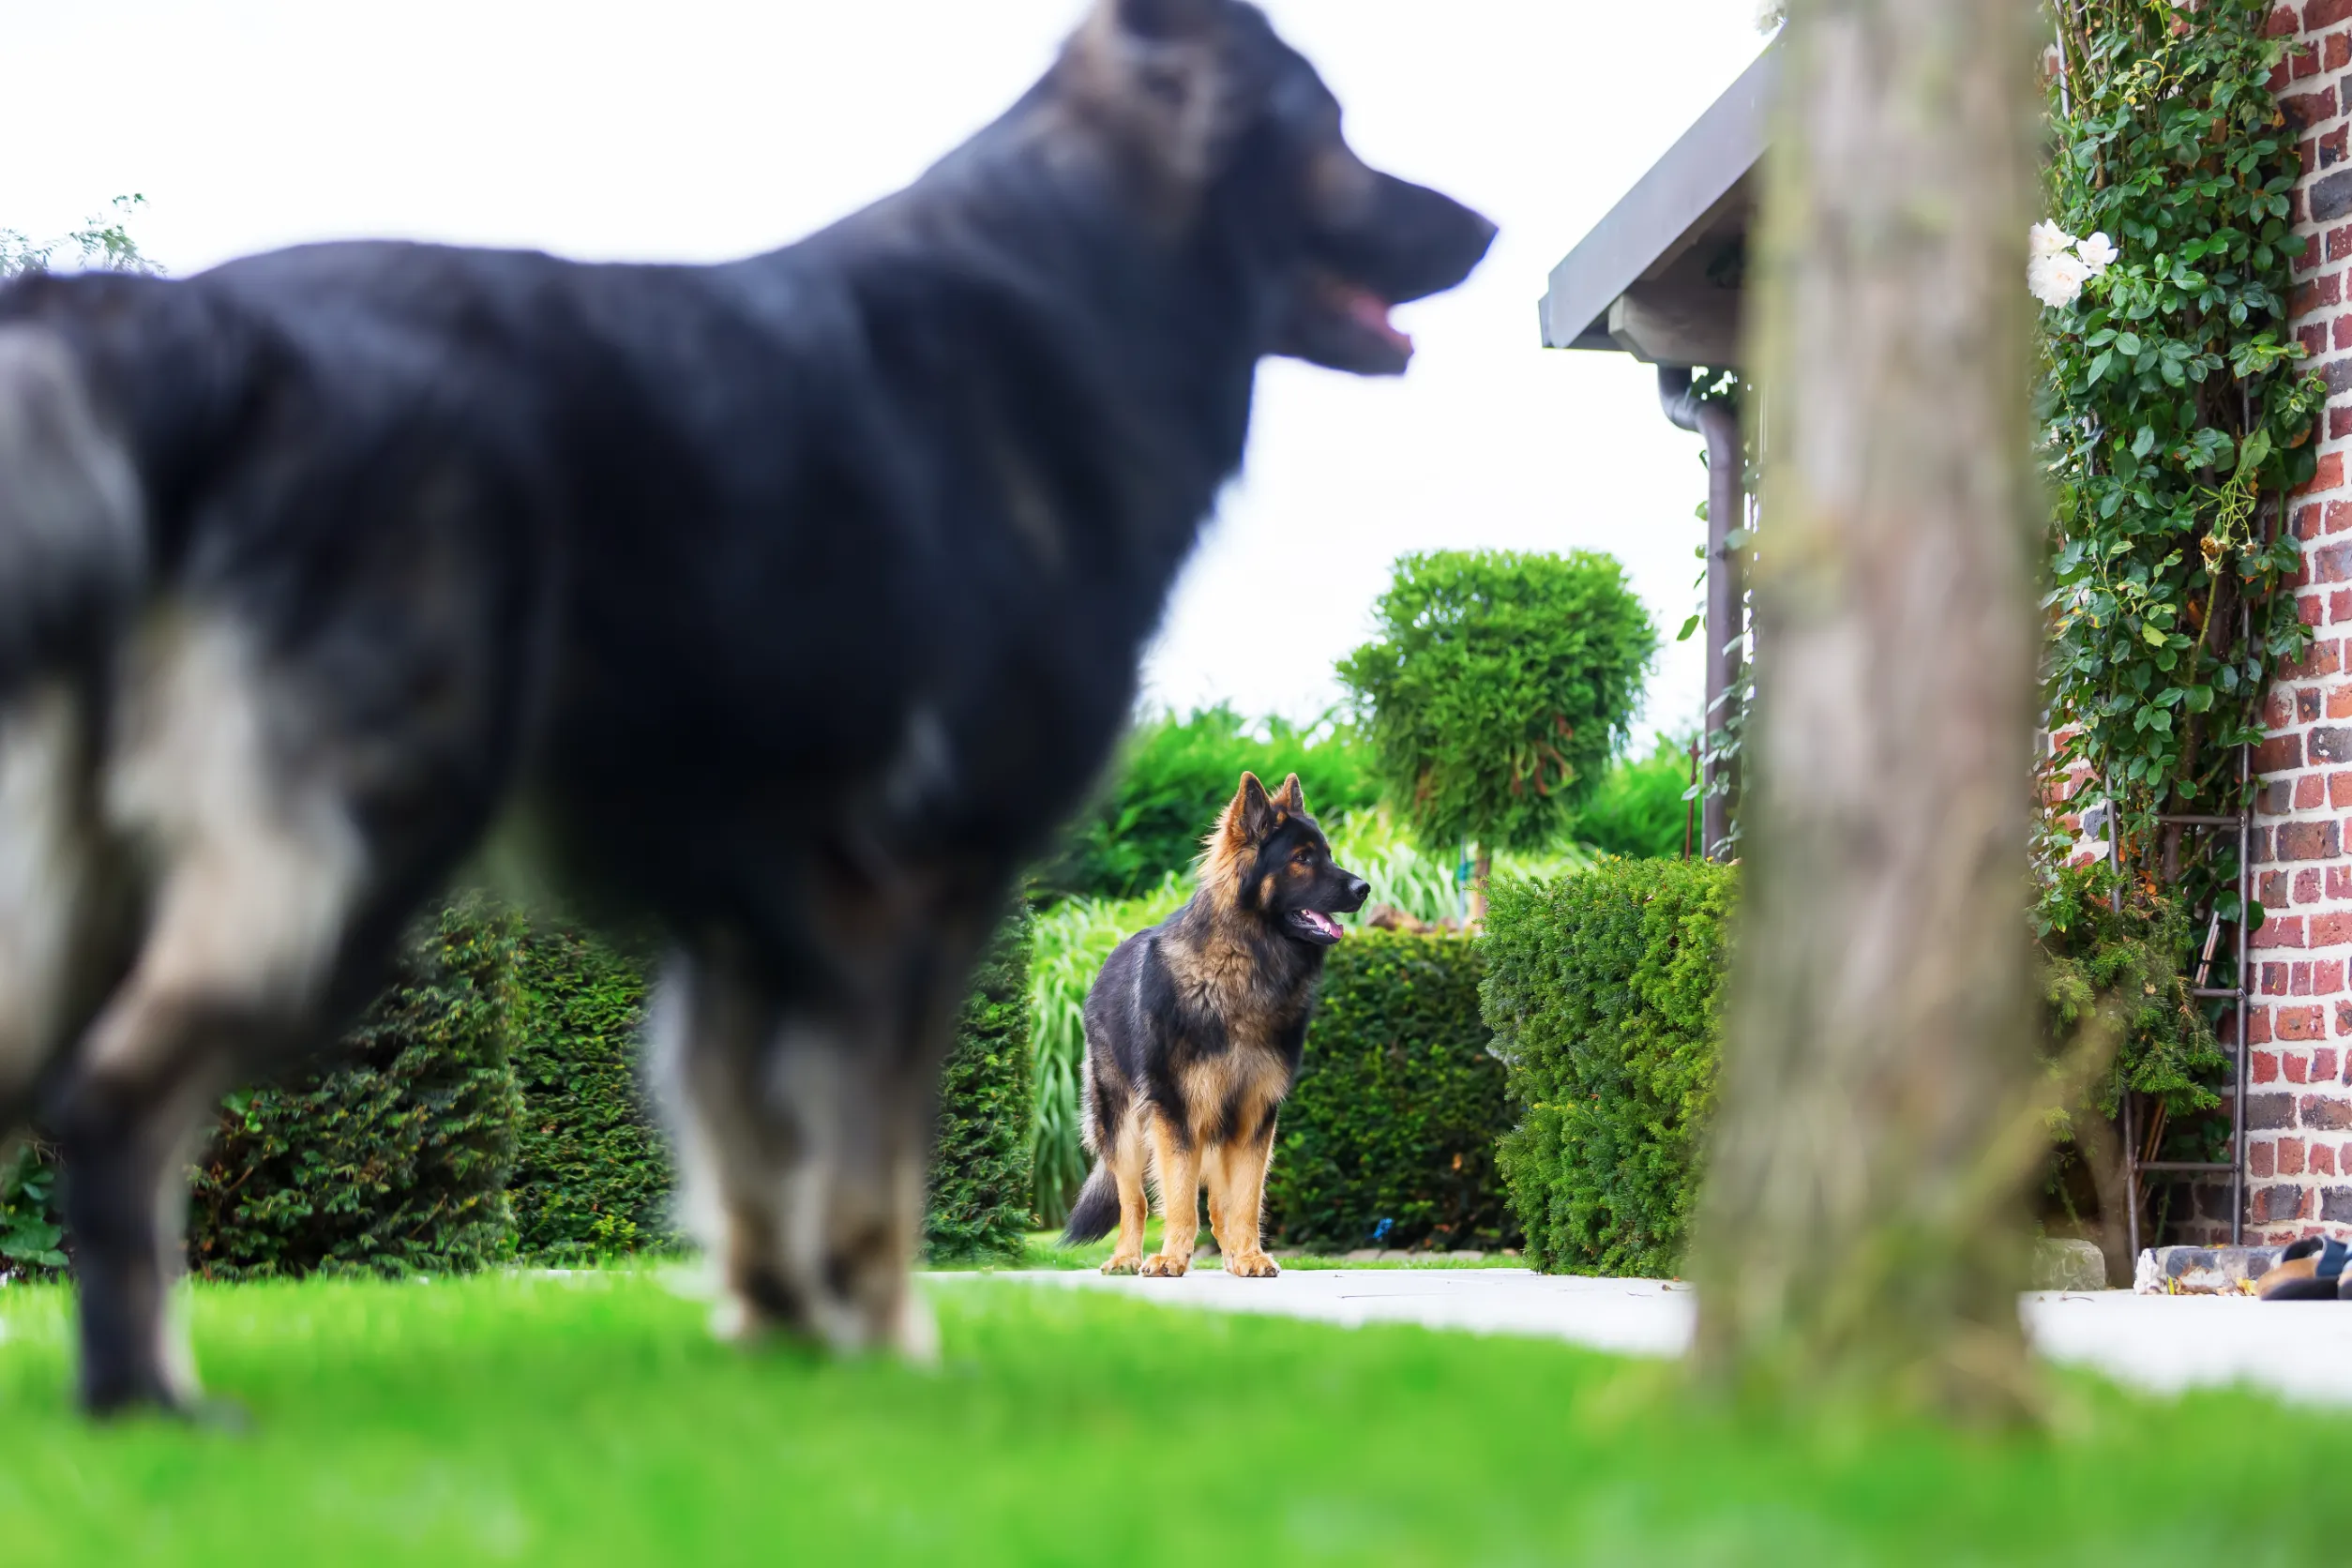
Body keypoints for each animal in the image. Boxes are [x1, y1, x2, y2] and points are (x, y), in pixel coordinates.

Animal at [0, 0, 1486, 1420]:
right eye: (1329, 127)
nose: (1485, 228)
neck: (1070, 291)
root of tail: (189, 329)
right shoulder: (914, 890)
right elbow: (874, 1167)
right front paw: (895, 1355)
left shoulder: (750, 917)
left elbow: (758, 1154)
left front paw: (781, 1346)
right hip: (356, 840)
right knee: (114, 1093)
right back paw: (151, 1406)